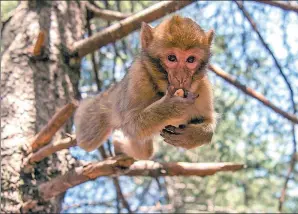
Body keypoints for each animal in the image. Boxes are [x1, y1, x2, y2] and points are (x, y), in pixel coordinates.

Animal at [73, 15, 215, 160]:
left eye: (191, 59)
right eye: (171, 58)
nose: (182, 78)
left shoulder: (203, 86)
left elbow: (208, 121)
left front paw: (193, 136)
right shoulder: (138, 76)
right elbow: (131, 125)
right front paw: (171, 107)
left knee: (144, 151)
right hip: (108, 103)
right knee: (88, 140)